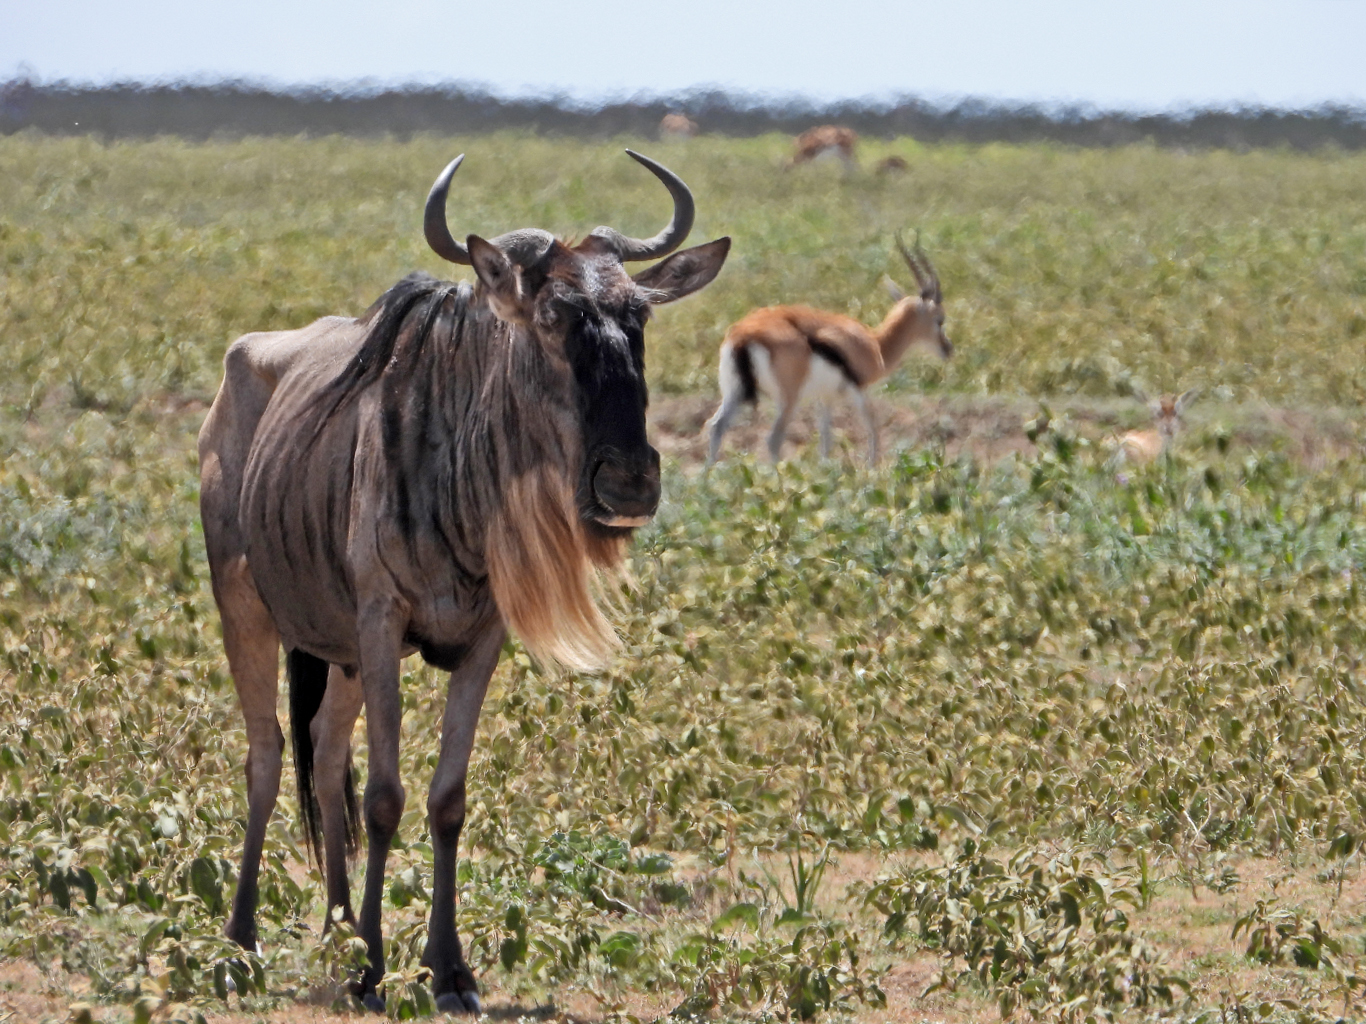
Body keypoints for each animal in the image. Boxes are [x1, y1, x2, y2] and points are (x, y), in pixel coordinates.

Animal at [199, 152, 732, 1021]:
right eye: (551, 319)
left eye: (639, 320)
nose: (628, 483)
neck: (461, 471)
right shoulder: (383, 623)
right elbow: (385, 796)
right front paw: (374, 972)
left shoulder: (480, 642)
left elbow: (446, 798)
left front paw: (447, 970)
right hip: (245, 608)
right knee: (268, 755)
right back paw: (242, 941)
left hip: (340, 655)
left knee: (323, 753)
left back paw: (336, 927)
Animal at [710, 234, 956, 464]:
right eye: (940, 319)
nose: (948, 348)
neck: (876, 345)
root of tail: (744, 335)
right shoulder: (858, 390)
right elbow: (873, 428)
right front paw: (871, 469)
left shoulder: (826, 397)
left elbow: (826, 439)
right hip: (788, 399)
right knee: (773, 439)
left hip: (734, 392)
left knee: (716, 426)